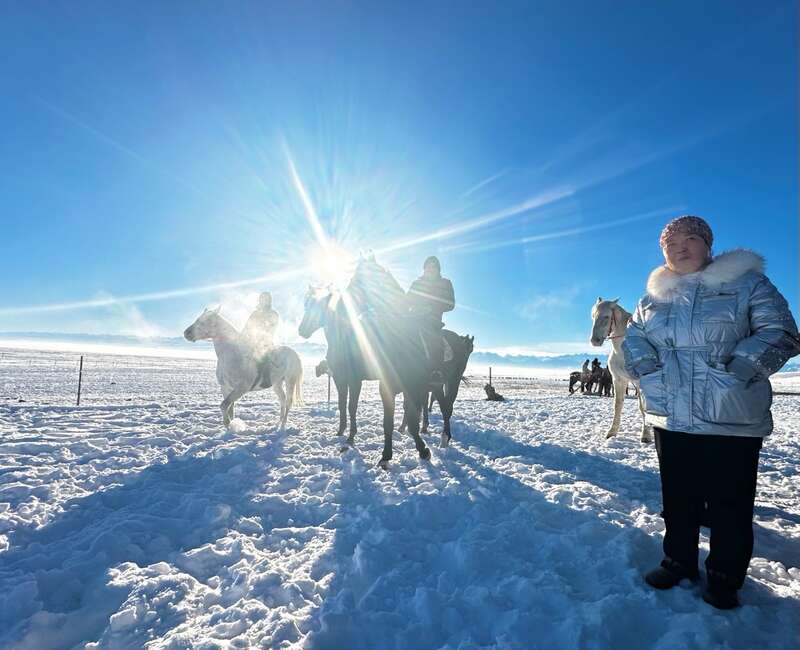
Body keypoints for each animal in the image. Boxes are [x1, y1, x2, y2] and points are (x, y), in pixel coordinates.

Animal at [588, 298, 648, 440]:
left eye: (606, 316)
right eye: (593, 316)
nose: (594, 341)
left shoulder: (639, 382)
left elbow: (642, 407)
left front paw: (646, 434)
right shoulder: (618, 380)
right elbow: (617, 405)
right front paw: (612, 432)